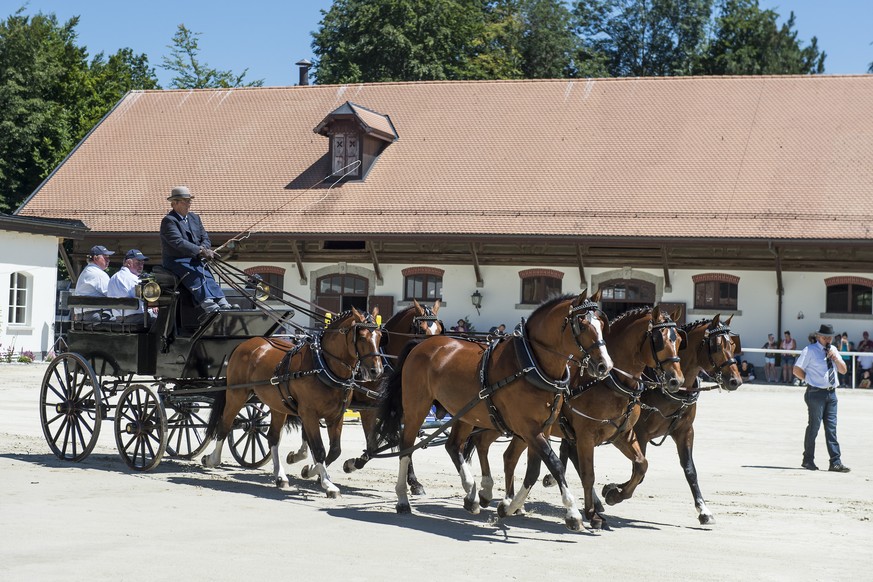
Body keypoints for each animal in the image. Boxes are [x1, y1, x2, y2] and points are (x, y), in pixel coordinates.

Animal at [206, 308, 384, 500]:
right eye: (362, 337)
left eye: (380, 336)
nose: (376, 371)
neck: (322, 366)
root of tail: (247, 343)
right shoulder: (309, 414)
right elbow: (319, 449)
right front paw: (327, 484)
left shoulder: (336, 416)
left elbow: (335, 450)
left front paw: (312, 471)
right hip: (236, 395)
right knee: (224, 425)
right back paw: (212, 459)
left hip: (277, 405)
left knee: (273, 437)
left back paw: (280, 476)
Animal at [374, 294, 612, 532]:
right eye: (582, 324)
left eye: (602, 324)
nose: (605, 366)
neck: (532, 365)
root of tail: (421, 344)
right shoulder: (529, 429)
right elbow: (555, 464)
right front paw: (572, 512)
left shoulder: (541, 429)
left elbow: (534, 471)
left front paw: (508, 506)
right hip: (417, 407)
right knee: (406, 446)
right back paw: (403, 498)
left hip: (465, 413)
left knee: (453, 446)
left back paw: (472, 493)